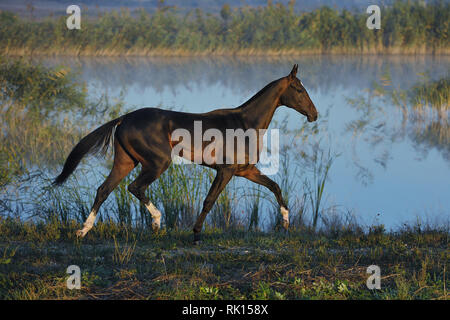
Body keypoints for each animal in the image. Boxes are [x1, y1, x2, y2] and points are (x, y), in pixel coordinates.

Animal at [54, 65, 318, 245]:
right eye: (298, 89)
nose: (314, 114)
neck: (245, 123)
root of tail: (125, 118)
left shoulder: (246, 170)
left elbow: (275, 186)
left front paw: (285, 222)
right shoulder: (226, 170)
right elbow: (209, 200)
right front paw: (196, 235)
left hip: (126, 161)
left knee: (104, 189)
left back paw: (83, 230)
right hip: (158, 163)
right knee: (135, 187)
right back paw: (156, 222)